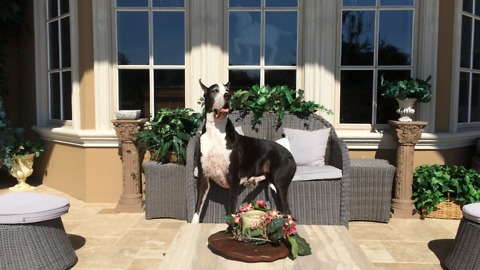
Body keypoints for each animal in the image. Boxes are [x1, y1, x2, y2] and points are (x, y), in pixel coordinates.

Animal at [191, 79, 296, 224]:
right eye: (215, 90)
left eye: (227, 90)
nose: (228, 96)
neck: (216, 132)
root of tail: (290, 154)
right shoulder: (203, 177)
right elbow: (197, 208)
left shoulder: (233, 179)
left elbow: (231, 209)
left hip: (280, 182)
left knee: (287, 210)